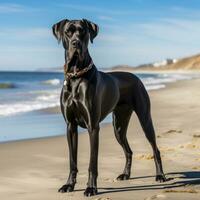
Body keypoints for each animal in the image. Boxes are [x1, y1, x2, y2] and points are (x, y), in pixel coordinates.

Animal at [52, 18, 166, 197]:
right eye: (68, 32)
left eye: (83, 31)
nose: (76, 43)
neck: (76, 75)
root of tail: (136, 77)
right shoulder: (70, 127)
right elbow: (72, 161)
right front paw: (69, 185)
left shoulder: (93, 127)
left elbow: (92, 162)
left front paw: (91, 188)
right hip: (118, 126)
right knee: (128, 151)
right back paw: (125, 174)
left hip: (145, 119)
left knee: (155, 149)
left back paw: (160, 175)